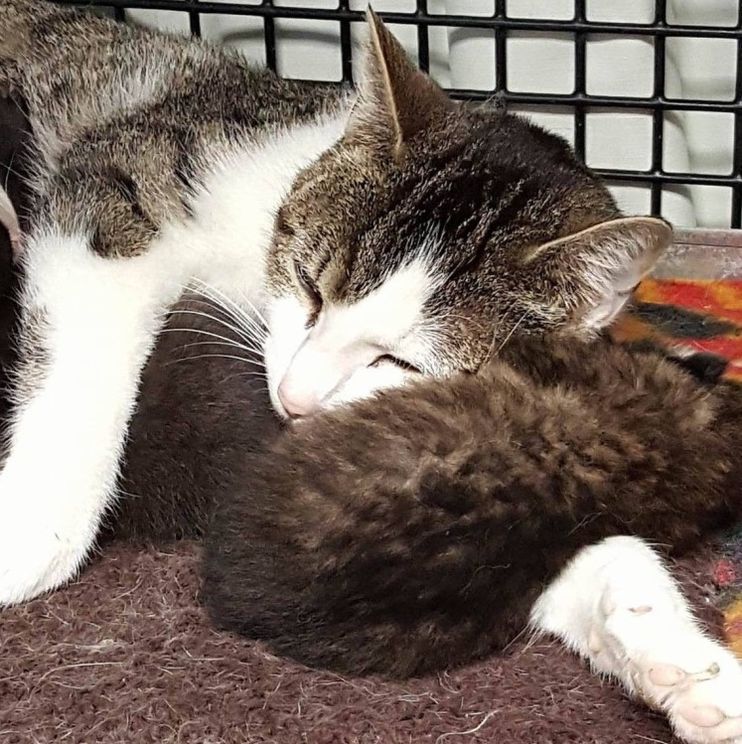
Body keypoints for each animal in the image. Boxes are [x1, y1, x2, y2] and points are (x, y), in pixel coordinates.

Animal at [0, 2, 740, 740]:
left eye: (401, 361)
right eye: (310, 285)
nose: (294, 398)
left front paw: (681, 661)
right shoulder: (125, 175)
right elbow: (92, 328)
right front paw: (35, 524)